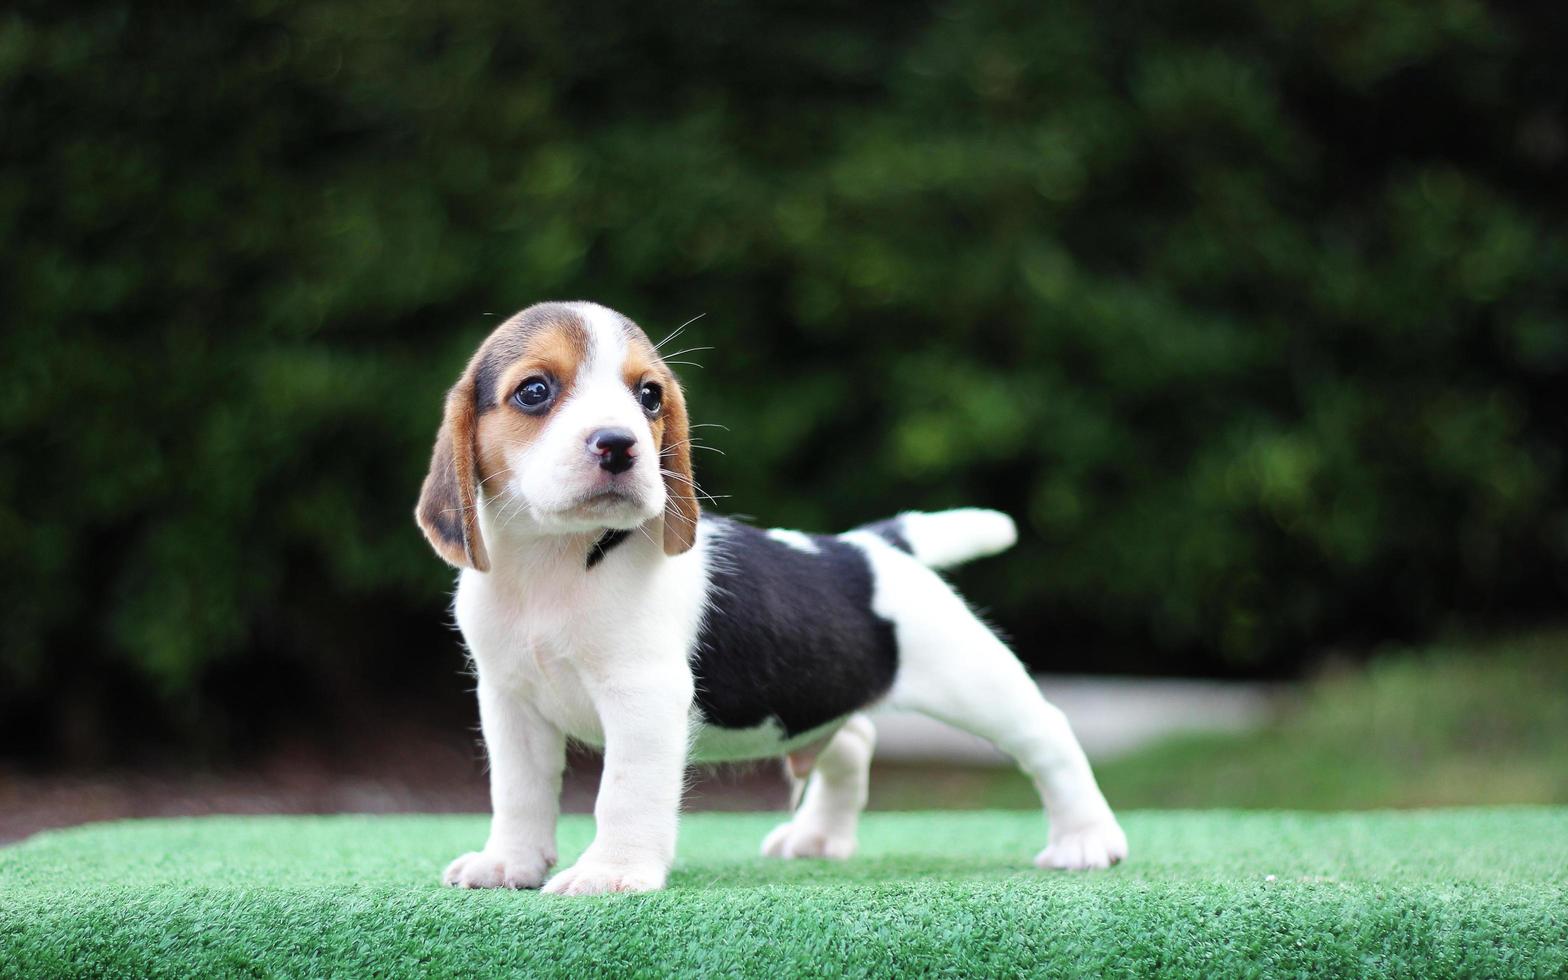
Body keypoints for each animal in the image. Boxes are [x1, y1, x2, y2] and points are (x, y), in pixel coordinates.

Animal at [417, 299, 1128, 896]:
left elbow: (623, 791)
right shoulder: (509, 700)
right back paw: (819, 836)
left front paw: (611, 873)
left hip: (973, 680)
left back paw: (1087, 839)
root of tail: (865, 547)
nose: (620, 444)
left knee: (1048, 736)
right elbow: (518, 790)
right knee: (855, 738)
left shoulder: (643, 696)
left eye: (648, 396)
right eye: (535, 391)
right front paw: (509, 863)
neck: (554, 563)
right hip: (827, 689)